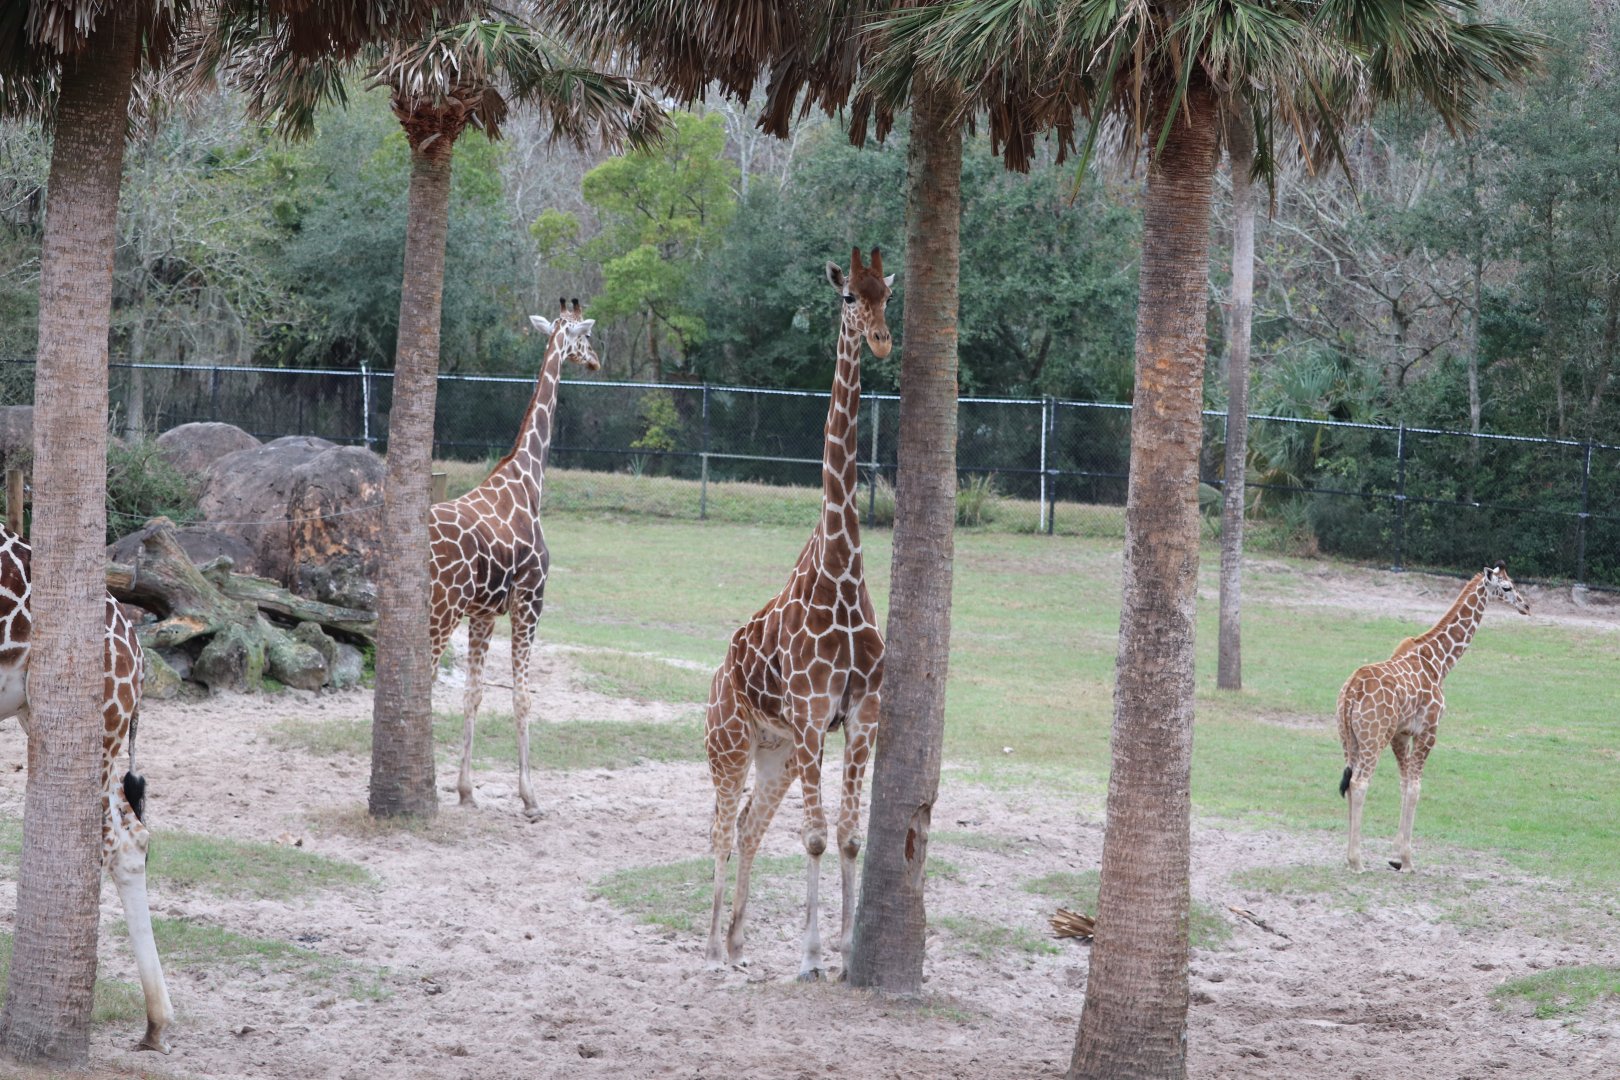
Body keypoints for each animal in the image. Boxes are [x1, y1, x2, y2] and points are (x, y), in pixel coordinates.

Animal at [0, 526, 173, 1052]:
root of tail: (138, 651)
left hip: (94, 718)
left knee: (100, 843)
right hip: (48, 716)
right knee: (131, 837)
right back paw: (156, 1024)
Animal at [428, 299, 598, 821]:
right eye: (586, 336)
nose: (596, 361)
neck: (529, 479)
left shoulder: (484, 612)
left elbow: (475, 693)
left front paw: (466, 790)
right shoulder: (530, 601)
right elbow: (523, 697)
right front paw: (530, 797)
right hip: (440, 612)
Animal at [705, 247, 893, 981]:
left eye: (888, 293)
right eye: (848, 297)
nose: (882, 340)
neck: (841, 570)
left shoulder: (862, 715)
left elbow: (848, 835)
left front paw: (846, 949)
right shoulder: (815, 717)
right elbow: (813, 837)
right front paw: (811, 955)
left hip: (775, 752)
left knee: (749, 822)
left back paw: (736, 942)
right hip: (729, 743)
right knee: (721, 827)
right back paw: (709, 946)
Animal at [1337, 562, 1530, 873]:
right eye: (1507, 586)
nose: (1526, 605)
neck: (1440, 662)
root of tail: (1351, 693)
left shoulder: (1401, 734)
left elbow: (1404, 784)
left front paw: (1395, 856)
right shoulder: (1428, 730)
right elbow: (1416, 787)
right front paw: (1406, 859)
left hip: (1348, 738)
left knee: (1349, 783)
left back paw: (1349, 857)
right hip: (1373, 737)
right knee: (1359, 783)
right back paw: (1356, 861)